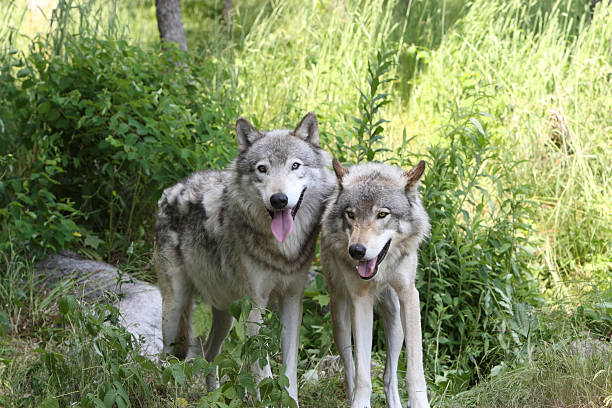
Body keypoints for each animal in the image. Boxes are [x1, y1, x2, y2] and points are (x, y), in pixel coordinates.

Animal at [153, 113, 334, 404]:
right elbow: (263, 371)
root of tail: (171, 189)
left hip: (225, 314)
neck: (282, 251)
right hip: (175, 309)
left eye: (295, 165)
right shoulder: (256, 306)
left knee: (208, 354)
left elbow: (289, 371)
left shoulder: (292, 299)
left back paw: (213, 398)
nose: (279, 199)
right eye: (262, 169)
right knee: (166, 360)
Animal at [320, 159, 430, 408]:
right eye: (350, 214)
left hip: (396, 320)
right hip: (340, 320)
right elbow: (362, 375)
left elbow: (415, 371)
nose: (356, 250)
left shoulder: (409, 295)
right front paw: (359, 402)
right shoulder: (361, 300)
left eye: (382, 214)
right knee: (350, 370)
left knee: (389, 376)